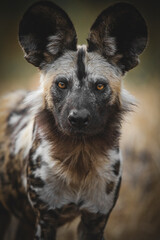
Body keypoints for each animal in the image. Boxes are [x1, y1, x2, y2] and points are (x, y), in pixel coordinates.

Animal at [0, 1, 148, 240]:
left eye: (100, 86)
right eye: (61, 84)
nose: (78, 119)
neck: (80, 156)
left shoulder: (95, 220)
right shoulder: (46, 219)